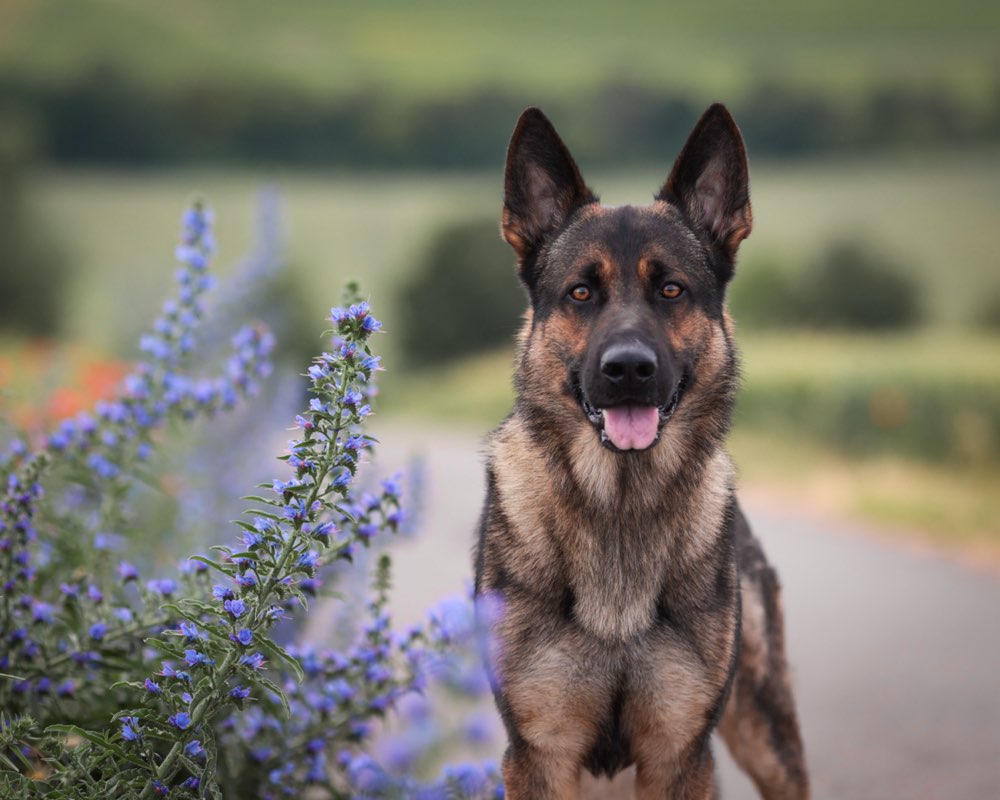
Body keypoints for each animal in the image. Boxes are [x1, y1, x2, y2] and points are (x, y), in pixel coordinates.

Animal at [472, 103, 808, 796]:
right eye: (580, 293)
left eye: (671, 290)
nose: (629, 369)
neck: (620, 505)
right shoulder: (542, 755)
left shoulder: (678, 753)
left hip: (769, 741)